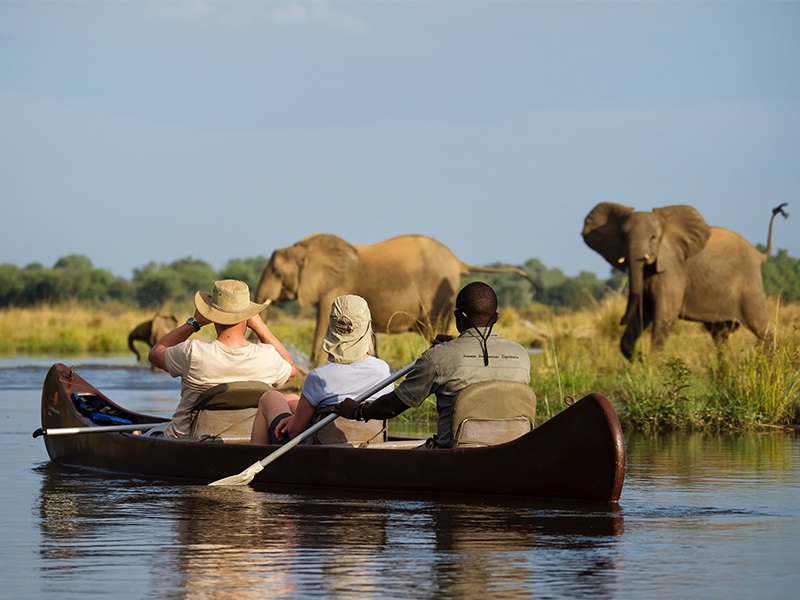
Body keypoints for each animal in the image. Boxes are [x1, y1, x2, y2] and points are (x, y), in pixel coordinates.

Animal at [580, 202, 788, 360]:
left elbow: (664, 315)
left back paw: (770, 364)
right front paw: (641, 360)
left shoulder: (671, 268)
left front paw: (654, 367)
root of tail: (758, 253)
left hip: (749, 282)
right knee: (719, 335)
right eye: (623, 236)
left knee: (760, 327)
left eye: (654, 237)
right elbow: (643, 312)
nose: (620, 320)